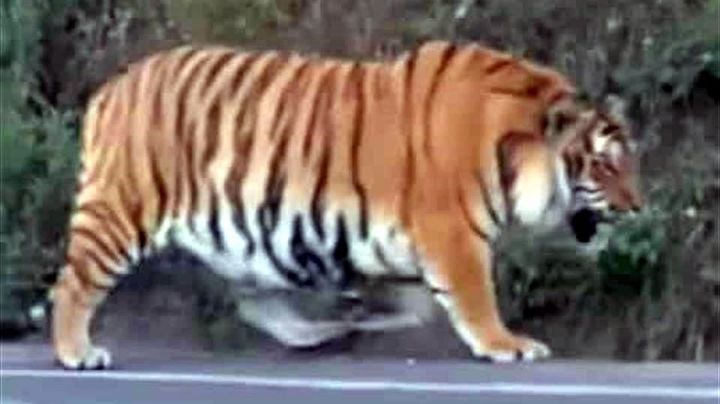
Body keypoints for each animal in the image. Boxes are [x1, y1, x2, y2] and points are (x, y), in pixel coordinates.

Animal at [50, 40, 643, 370]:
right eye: (605, 165)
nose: (638, 207)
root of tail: (110, 89)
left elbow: (417, 305)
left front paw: (371, 318)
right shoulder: (453, 235)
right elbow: (476, 300)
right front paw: (506, 344)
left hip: (238, 236)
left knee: (254, 302)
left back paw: (318, 334)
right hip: (122, 212)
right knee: (72, 284)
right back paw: (77, 353)